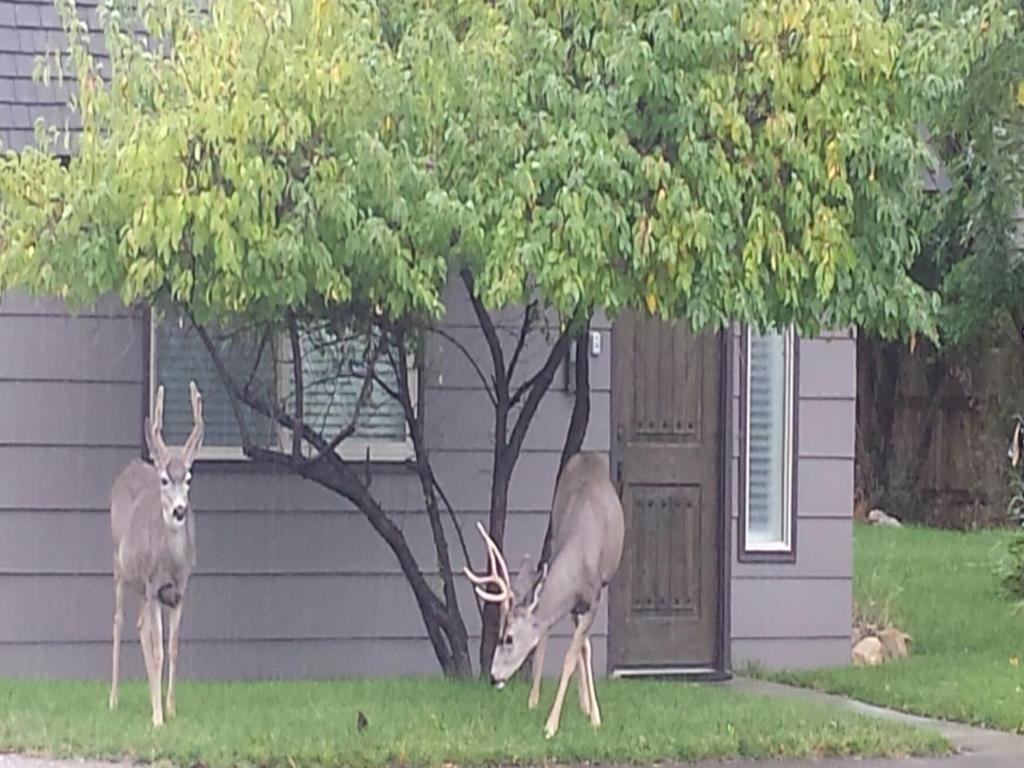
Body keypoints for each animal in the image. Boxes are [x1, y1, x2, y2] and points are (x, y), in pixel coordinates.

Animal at [108, 382, 203, 729]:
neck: (171, 564)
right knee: (120, 621)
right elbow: (158, 649)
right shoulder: (153, 586)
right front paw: (159, 717)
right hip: (119, 564)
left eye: (188, 478)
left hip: (141, 585)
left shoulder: (178, 592)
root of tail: (130, 467)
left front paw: (170, 708)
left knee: (139, 626)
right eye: (164, 479)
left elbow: (172, 648)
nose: (179, 510)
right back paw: (113, 699)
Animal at [464, 450, 622, 741]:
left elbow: (572, 655)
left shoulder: (594, 599)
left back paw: (586, 708)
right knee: (564, 639)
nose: (493, 676)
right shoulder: (573, 602)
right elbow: (570, 646)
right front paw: (549, 710)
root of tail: (586, 454)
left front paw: (554, 725)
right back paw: (549, 701)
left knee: (581, 645)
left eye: (508, 638)